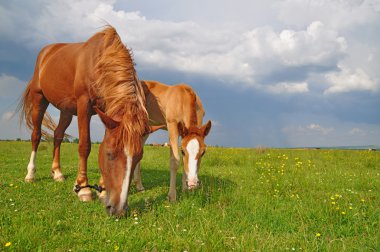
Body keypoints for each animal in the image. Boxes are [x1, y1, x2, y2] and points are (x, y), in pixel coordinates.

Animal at [18, 26, 151, 215]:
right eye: (110, 154)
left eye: (139, 156)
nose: (118, 209)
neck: (100, 62)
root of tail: (46, 52)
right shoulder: (84, 106)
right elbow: (84, 145)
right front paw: (84, 189)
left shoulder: (105, 110)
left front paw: (103, 190)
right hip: (39, 100)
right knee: (36, 136)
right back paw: (30, 175)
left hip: (66, 110)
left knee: (58, 135)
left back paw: (57, 173)